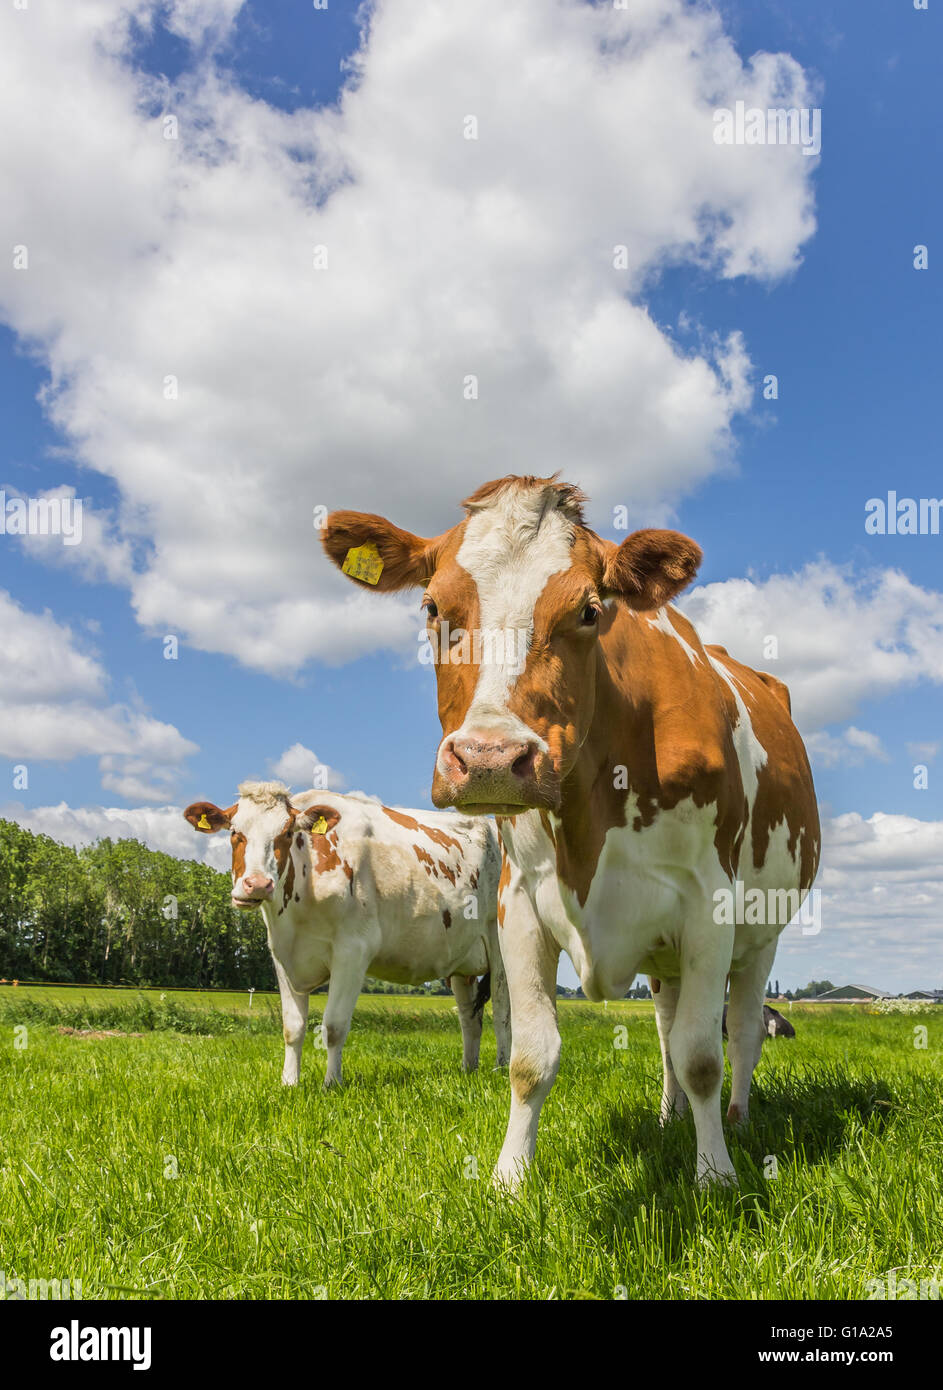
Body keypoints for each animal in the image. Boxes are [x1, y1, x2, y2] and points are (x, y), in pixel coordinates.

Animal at [183, 783, 509, 1085]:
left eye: (287, 832)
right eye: (234, 832)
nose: (258, 885)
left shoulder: (353, 952)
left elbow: (334, 1026)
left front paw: (332, 1083)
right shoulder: (282, 956)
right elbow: (292, 1027)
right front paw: (289, 1082)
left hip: (500, 948)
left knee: (503, 1011)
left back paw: (502, 1069)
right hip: (462, 964)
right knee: (470, 1018)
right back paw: (468, 1069)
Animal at [321, 475, 820, 1188]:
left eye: (589, 611)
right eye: (431, 607)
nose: (490, 759)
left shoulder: (709, 908)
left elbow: (704, 1055)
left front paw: (716, 1176)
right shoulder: (521, 904)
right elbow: (533, 1058)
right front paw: (509, 1178)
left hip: (761, 936)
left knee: (745, 1032)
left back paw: (739, 1121)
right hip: (664, 960)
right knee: (666, 1031)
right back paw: (668, 1117)